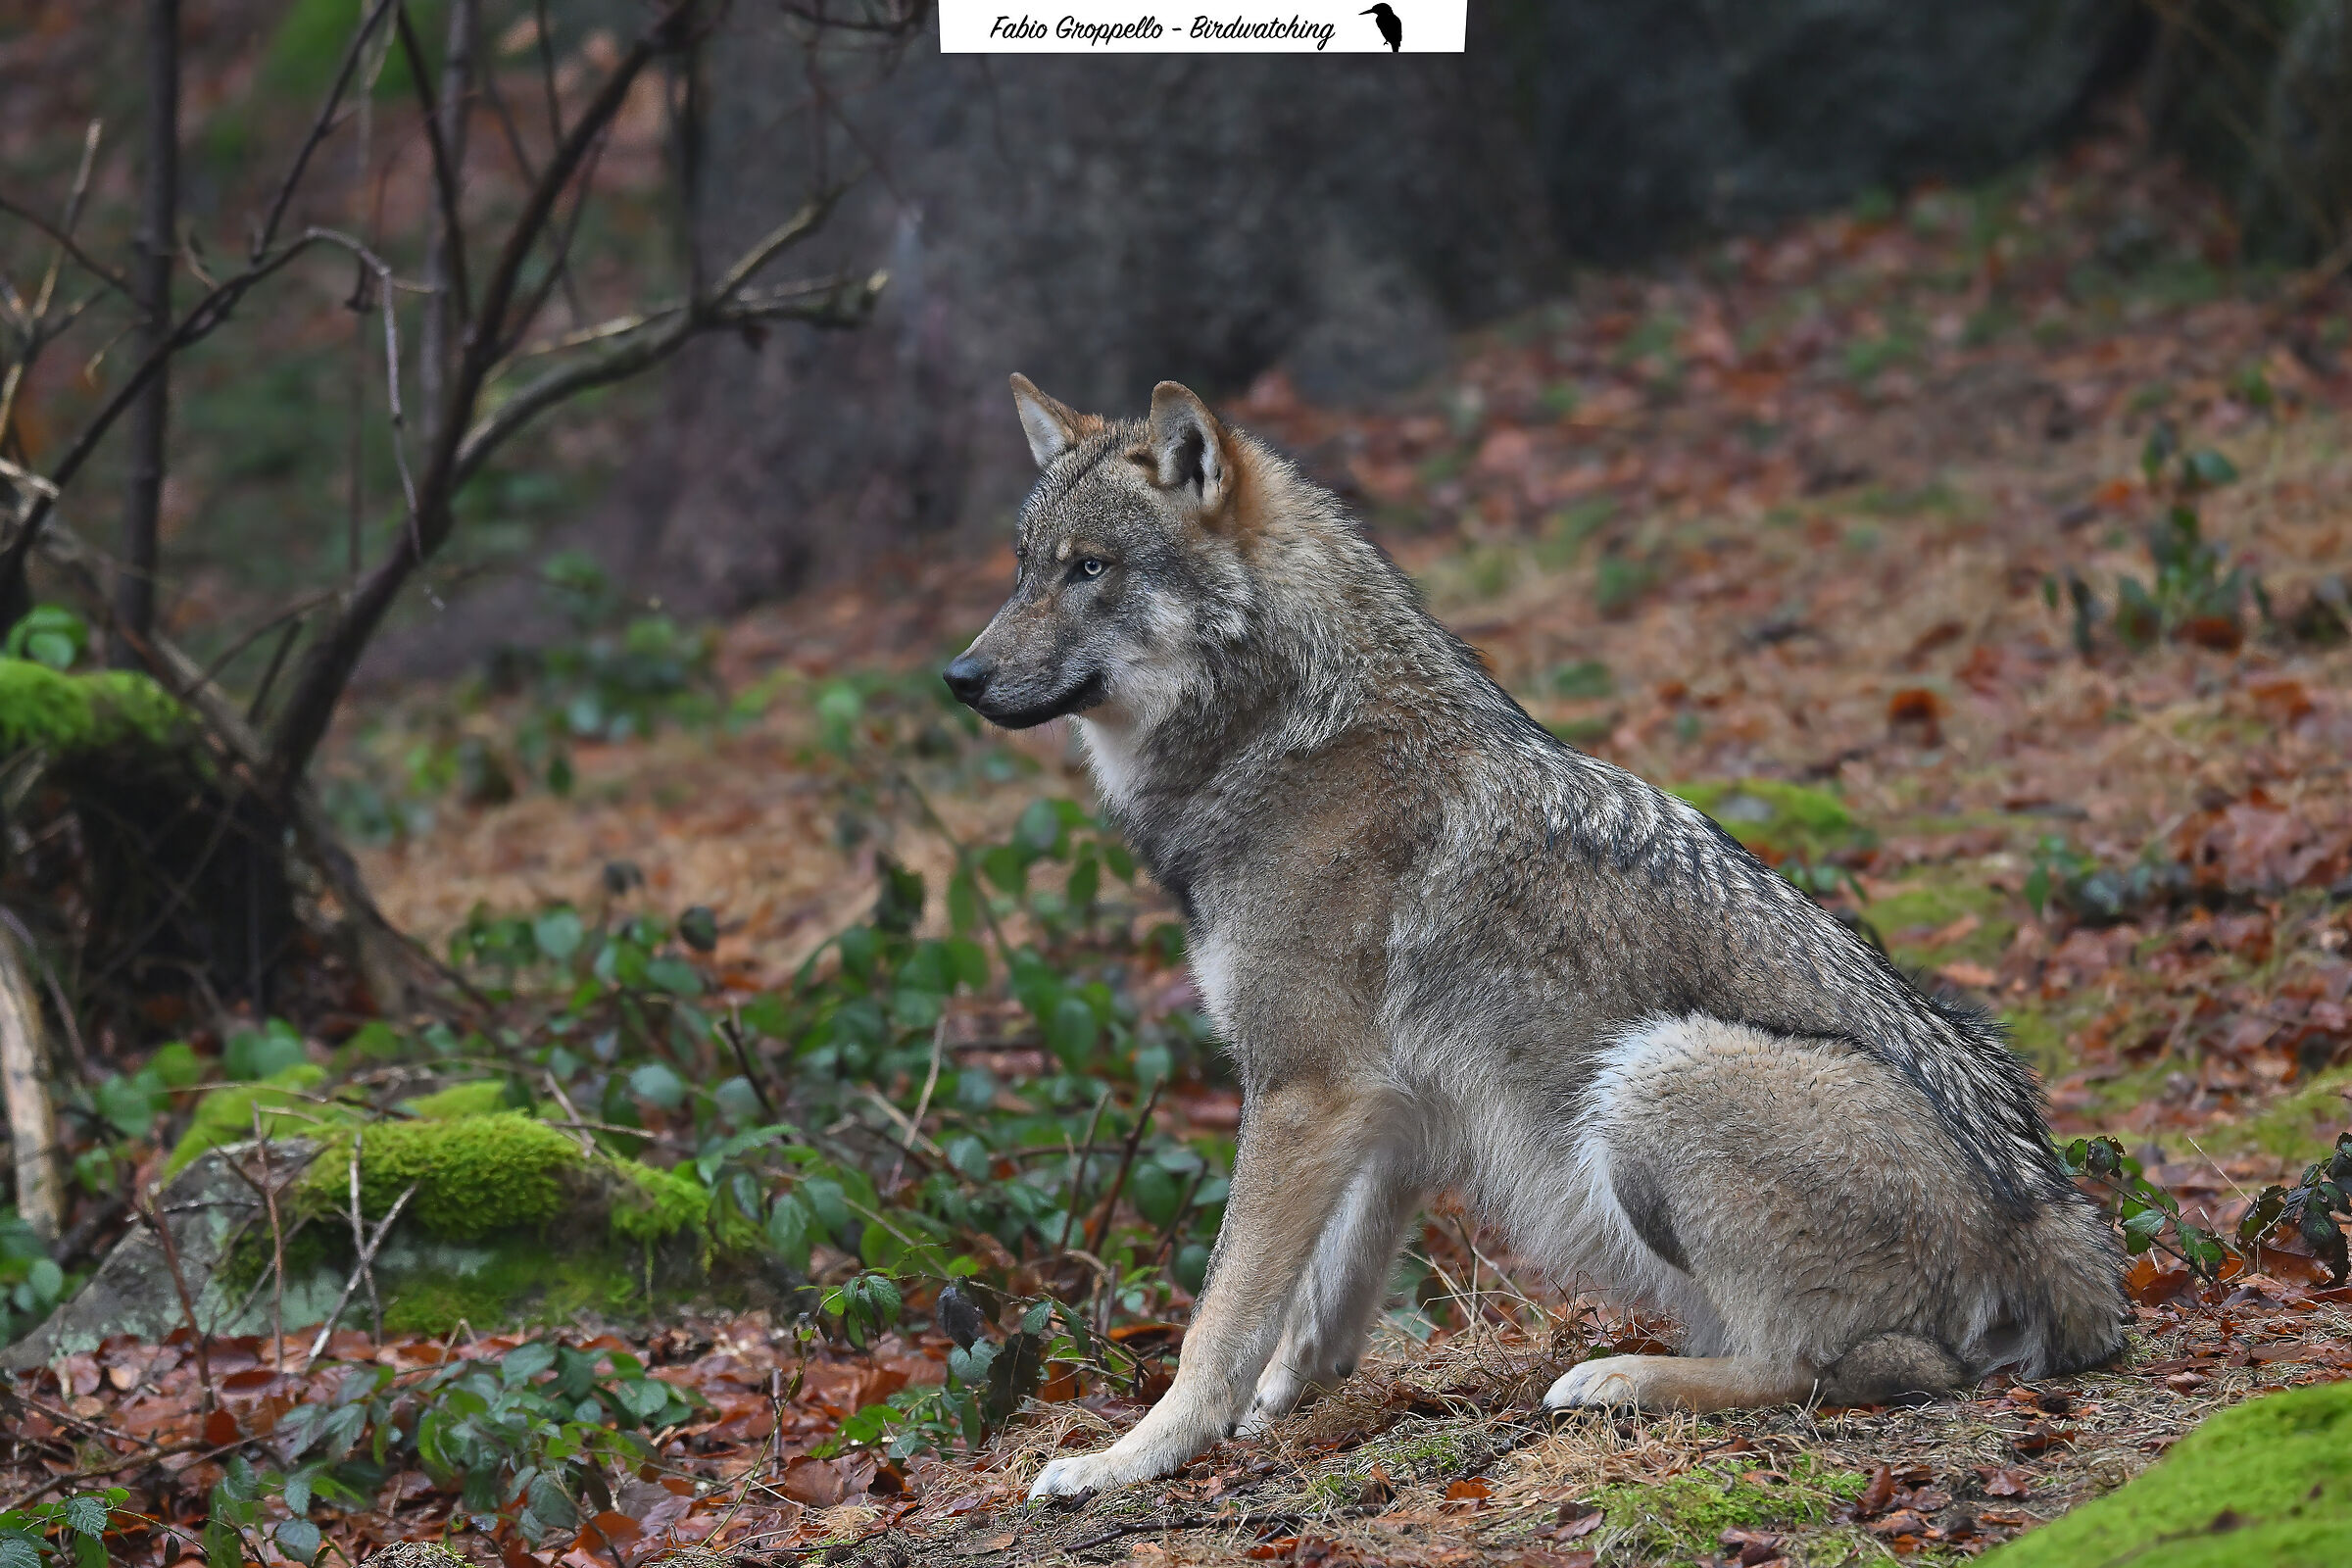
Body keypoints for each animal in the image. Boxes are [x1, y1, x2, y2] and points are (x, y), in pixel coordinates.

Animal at [942, 375, 2125, 1499]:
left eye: (1090, 569)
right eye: (1023, 568)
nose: (958, 677)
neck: (1281, 736)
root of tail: (2052, 1220)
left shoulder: (1300, 1088)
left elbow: (1218, 1315)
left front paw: (1132, 1457)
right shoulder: (1385, 1108)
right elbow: (1323, 1301)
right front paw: (1284, 1400)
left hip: (1657, 1072)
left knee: (1834, 1367)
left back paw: (1621, 1378)